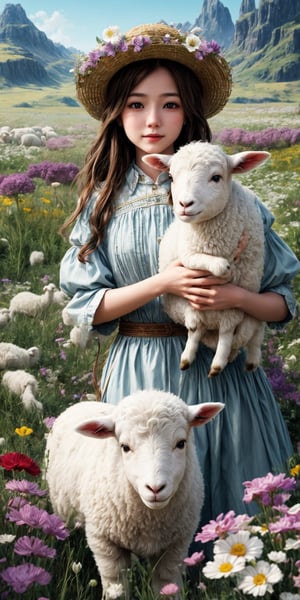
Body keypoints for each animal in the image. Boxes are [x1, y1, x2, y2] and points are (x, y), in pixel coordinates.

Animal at [44, 390, 223, 596]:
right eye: (125, 447)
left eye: (181, 443)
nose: (155, 488)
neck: (150, 520)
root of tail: (82, 403)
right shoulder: (105, 544)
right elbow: (117, 588)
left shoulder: (175, 547)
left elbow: (167, 586)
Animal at [143, 141, 270, 376]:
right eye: (172, 177)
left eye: (216, 177)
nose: (184, 204)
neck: (212, 239)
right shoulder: (187, 257)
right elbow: (194, 328)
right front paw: (220, 265)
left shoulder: (232, 308)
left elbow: (227, 333)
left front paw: (218, 362)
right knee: (199, 330)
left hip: (247, 313)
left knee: (253, 333)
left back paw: (246, 360)